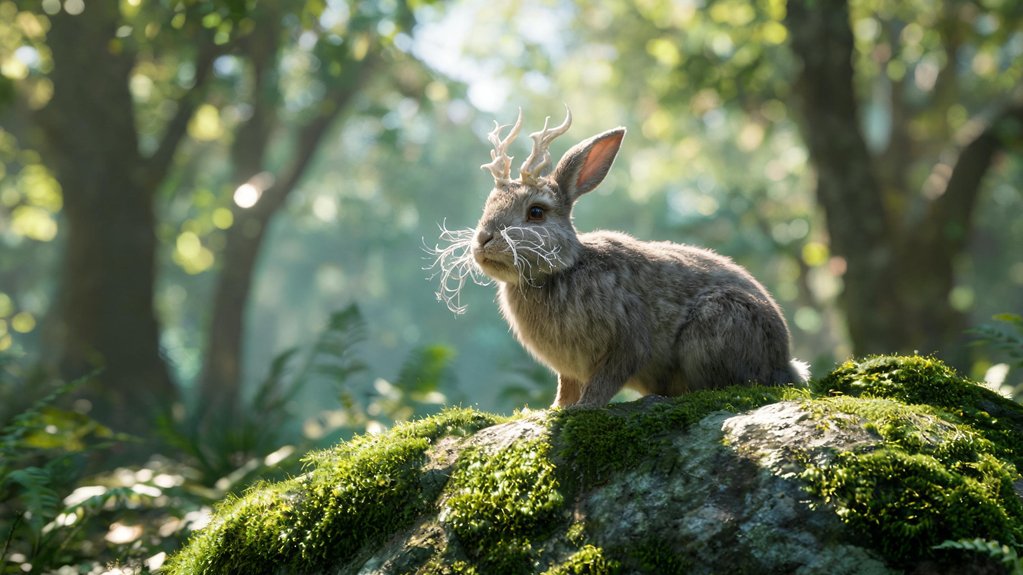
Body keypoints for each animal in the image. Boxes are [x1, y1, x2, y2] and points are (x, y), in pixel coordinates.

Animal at [430, 108, 809, 408]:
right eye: (488, 205)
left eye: (536, 212)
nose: (483, 239)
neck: (562, 270)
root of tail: (785, 364)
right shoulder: (569, 369)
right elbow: (566, 388)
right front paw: (553, 411)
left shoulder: (626, 343)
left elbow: (604, 383)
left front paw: (582, 410)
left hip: (716, 324)